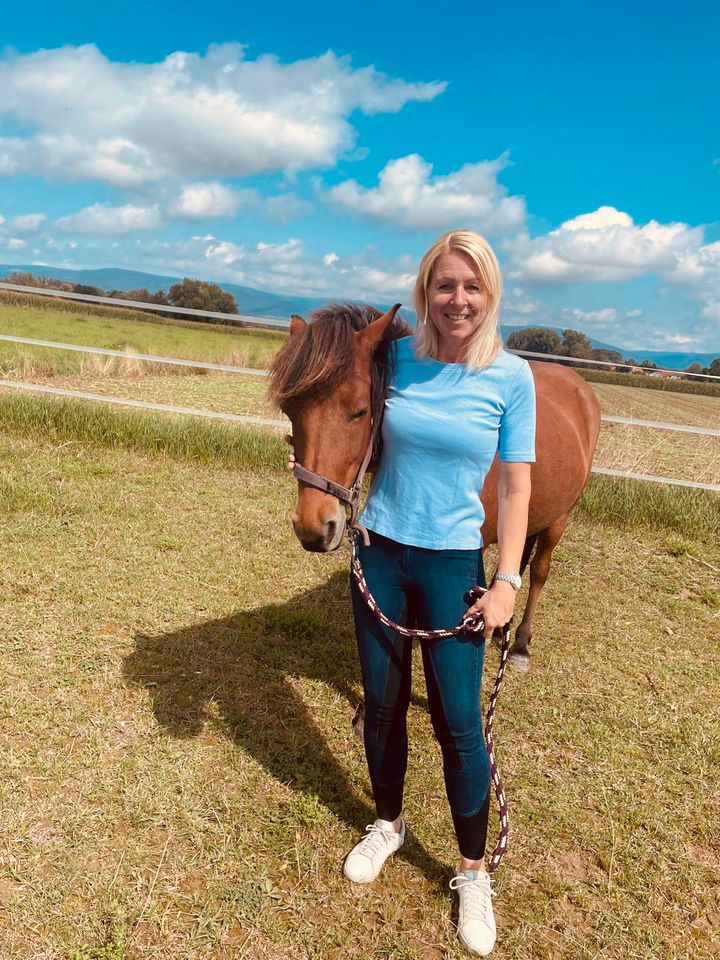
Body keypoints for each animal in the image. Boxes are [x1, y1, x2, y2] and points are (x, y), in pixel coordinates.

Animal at [268, 304, 600, 672]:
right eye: (289, 409)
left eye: (360, 411)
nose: (313, 528)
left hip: (560, 517)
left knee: (540, 571)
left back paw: (521, 645)